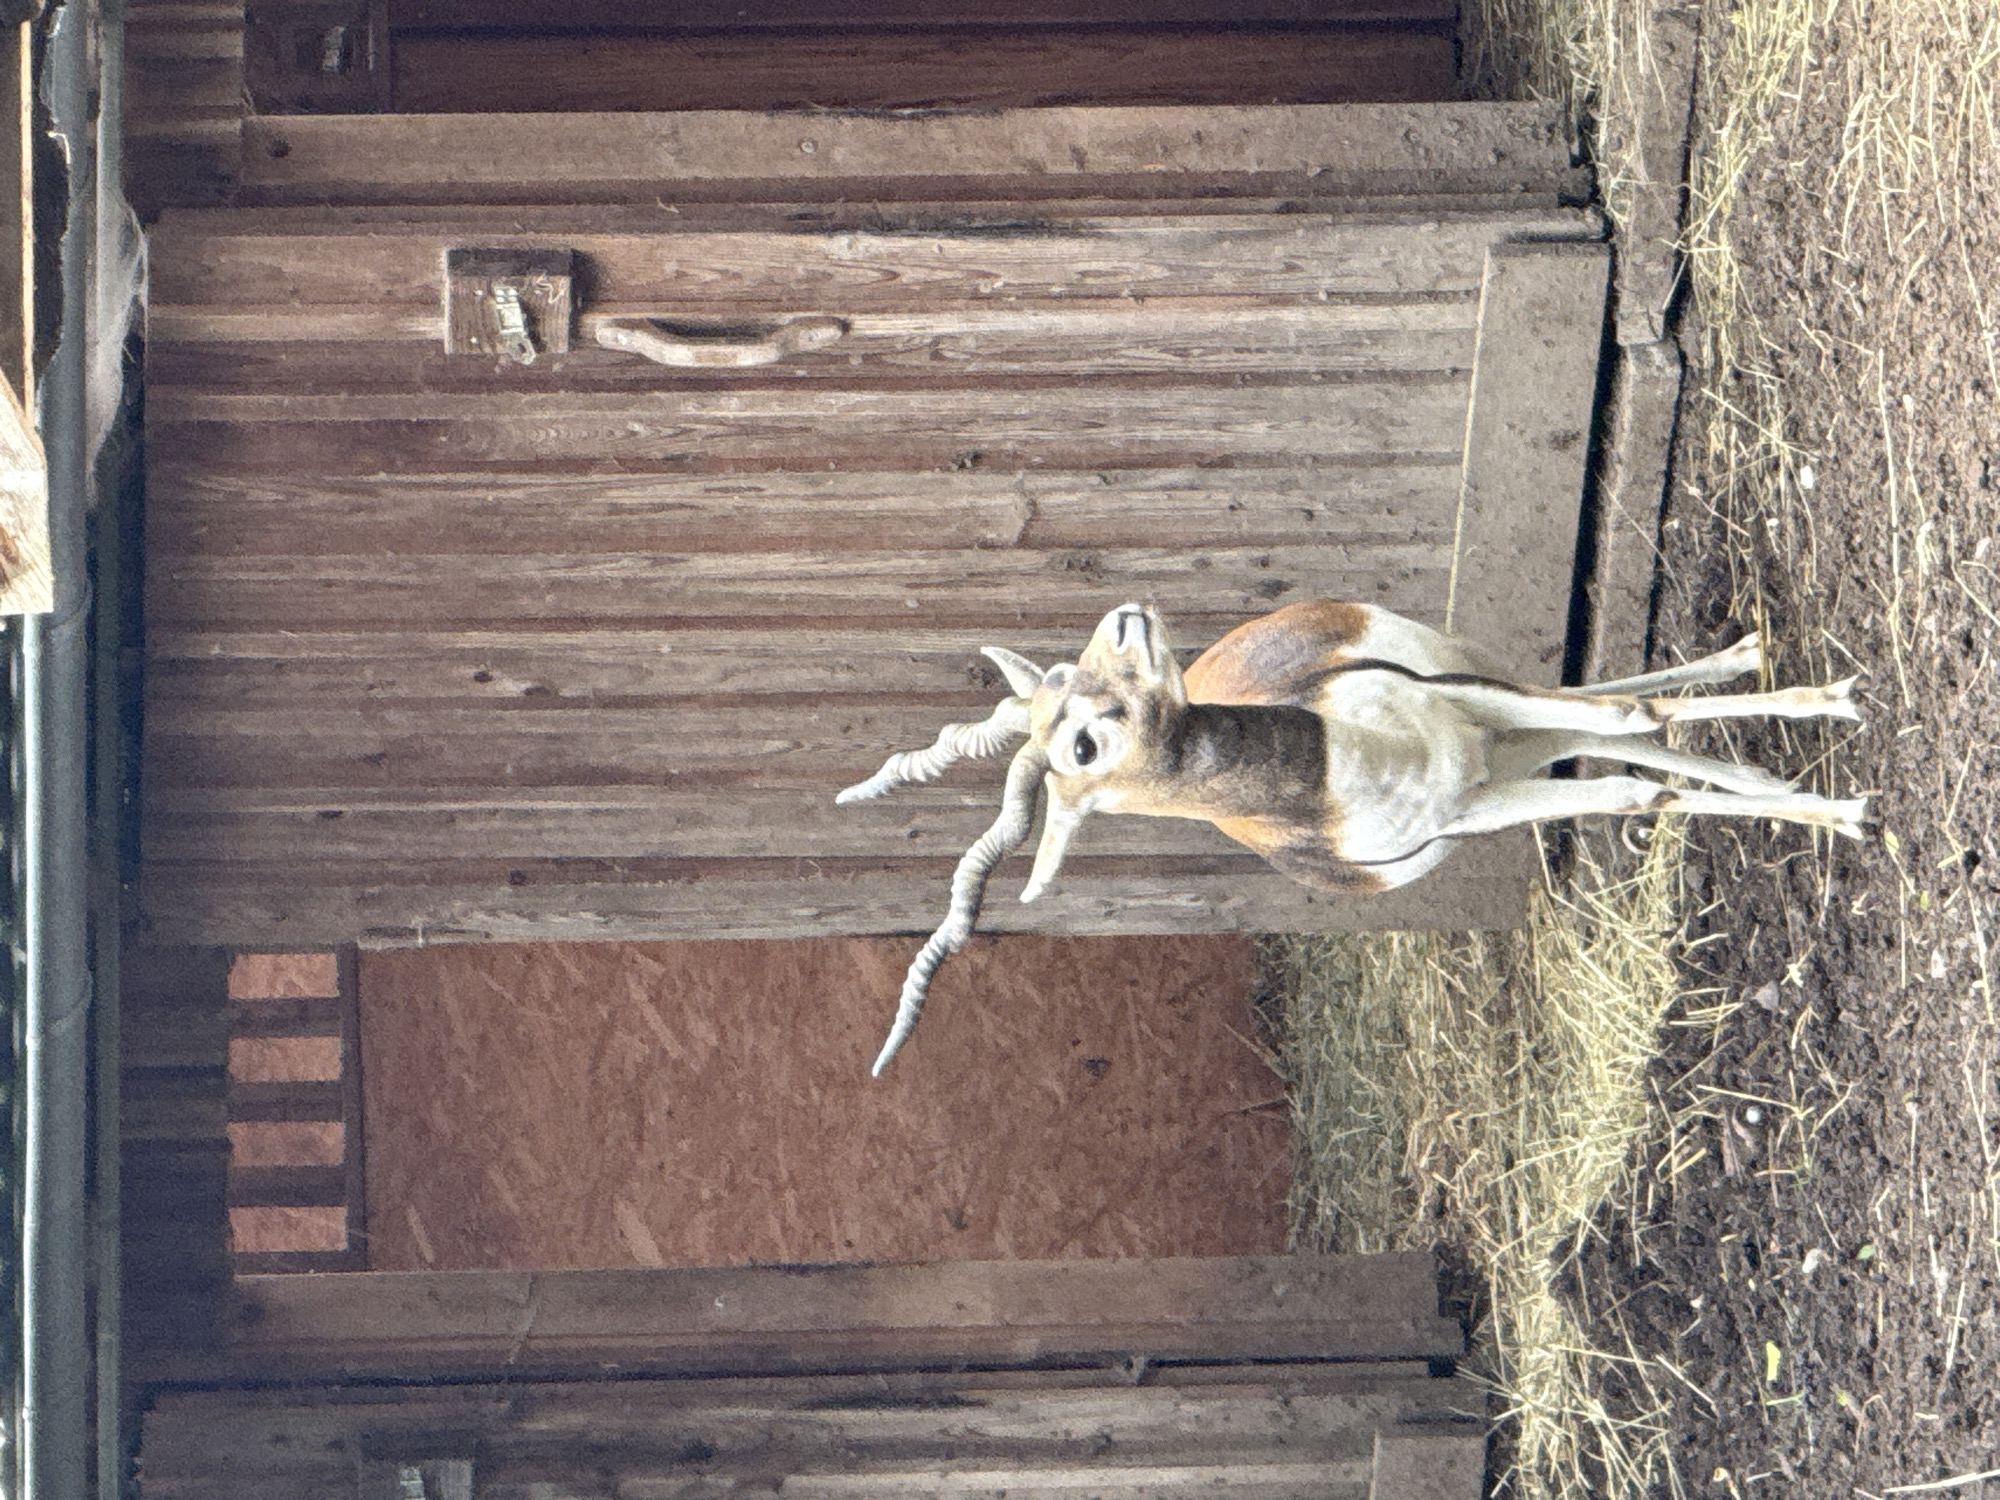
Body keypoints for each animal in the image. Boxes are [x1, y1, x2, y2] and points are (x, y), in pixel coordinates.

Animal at [839, 600, 1867, 1074]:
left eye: (1068, 675)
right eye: (1080, 744)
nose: (1124, 620)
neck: (1344, 765)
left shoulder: (1469, 705)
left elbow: (1631, 720)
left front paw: (1830, 722)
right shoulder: (1470, 806)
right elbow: (1624, 786)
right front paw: (1834, 805)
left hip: (1474, 681)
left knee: (1606, 699)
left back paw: (1757, 674)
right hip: (1506, 755)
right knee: (1612, 739)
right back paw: (1780, 772)